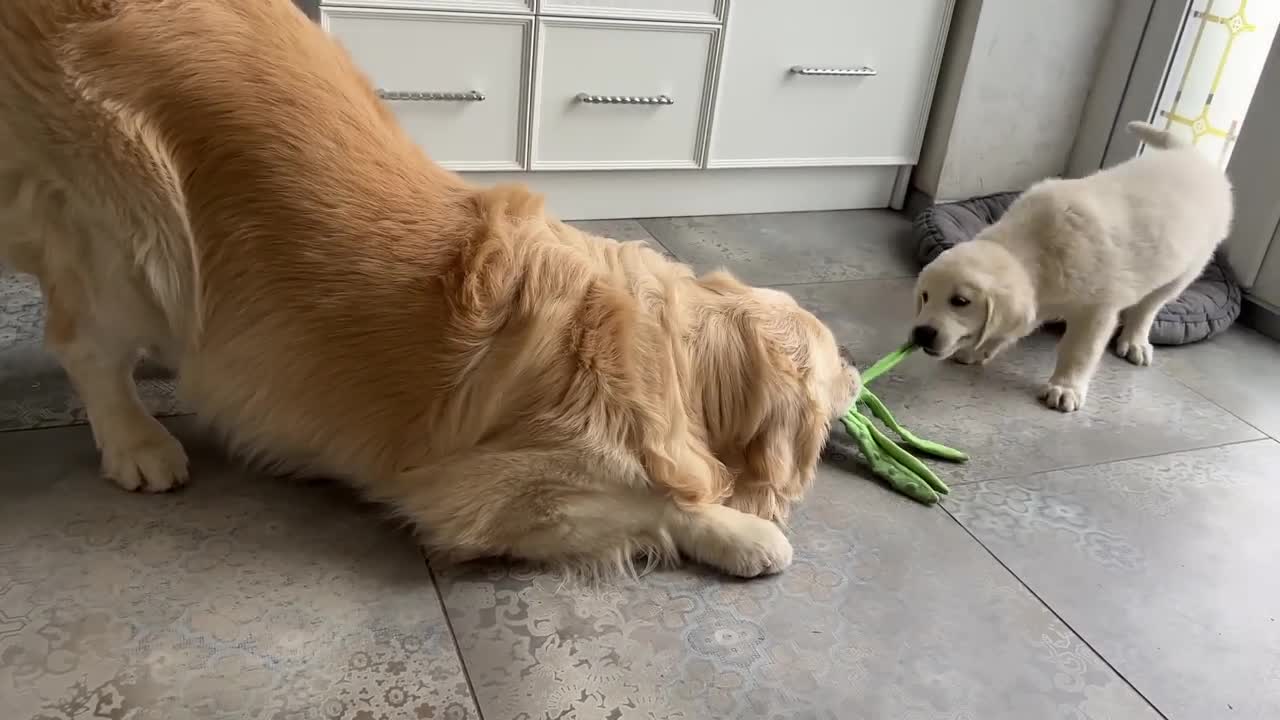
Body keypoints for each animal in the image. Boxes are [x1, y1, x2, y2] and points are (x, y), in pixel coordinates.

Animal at [2, 0, 860, 571]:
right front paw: (743, 530)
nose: (861, 374)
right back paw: (138, 442)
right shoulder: (483, 495)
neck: (669, 353)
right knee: (83, 342)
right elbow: (654, 501)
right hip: (138, 220)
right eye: (832, 362)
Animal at [911, 122, 1228, 409]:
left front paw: (1065, 388)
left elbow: (1079, 350)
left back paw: (1135, 341)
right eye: (925, 297)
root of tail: (1188, 154)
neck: (1036, 248)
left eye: (960, 301)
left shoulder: (1096, 309)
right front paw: (979, 350)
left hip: (1187, 269)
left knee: (1148, 307)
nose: (921, 332)